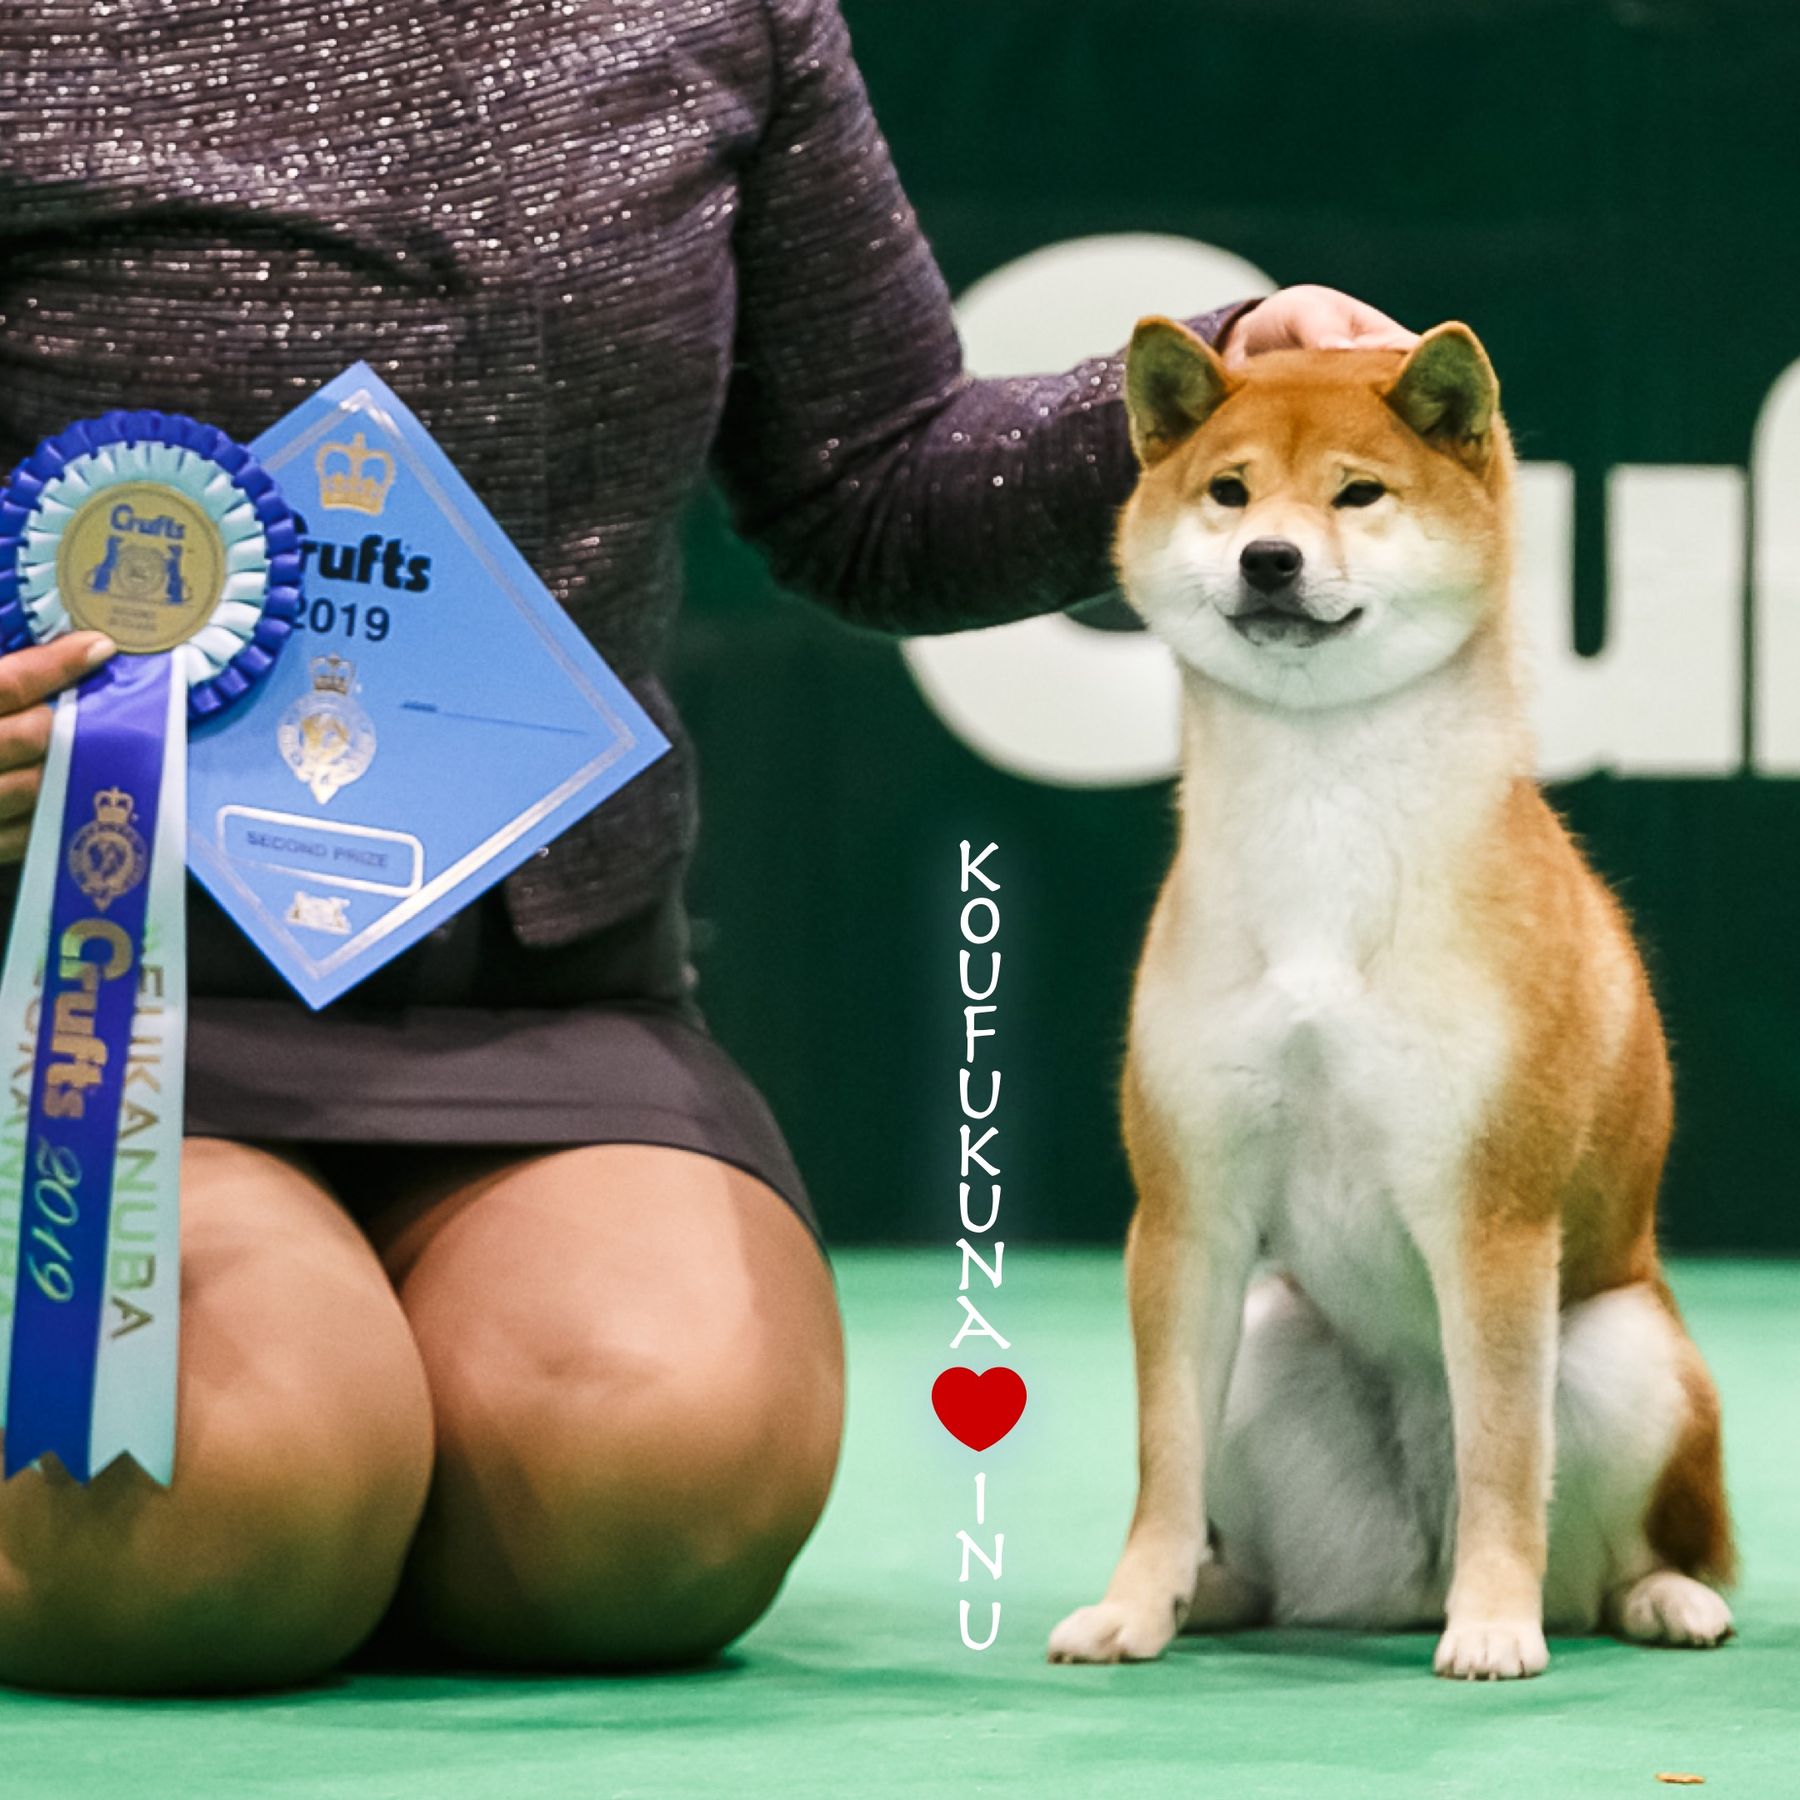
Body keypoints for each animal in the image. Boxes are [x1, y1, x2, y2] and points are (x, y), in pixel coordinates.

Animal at [1051, 316, 1735, 1677]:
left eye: (1358, 494)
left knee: (1621, 1545)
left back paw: (1655, 1601)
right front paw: (1132, 1603)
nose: (1268, 558)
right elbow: (1163, 1458)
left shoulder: (1492, 1218)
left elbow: (1505, 1454)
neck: (1324, 815)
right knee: (1253, 1543)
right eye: (1231, 491)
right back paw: (1213, 1595)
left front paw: (1496, 1622)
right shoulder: (1191, 1214)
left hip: (1628, 1351)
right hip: (1270, 1336)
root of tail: (1402, 1577)